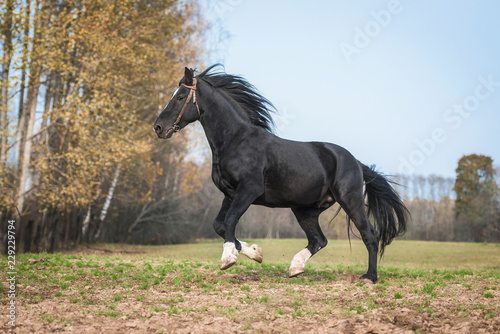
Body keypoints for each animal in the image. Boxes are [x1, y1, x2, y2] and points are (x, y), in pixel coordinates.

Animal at [154, 64, 408, 282]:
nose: (158, 127)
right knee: (319, 240)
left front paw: (228, 259)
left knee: (370, 235)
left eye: (179, 97)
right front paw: (255, 252)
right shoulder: (229, 193)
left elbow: (230, 219)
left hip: (350, 200)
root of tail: (355, 162)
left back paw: (369, 277)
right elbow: (220, 225)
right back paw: (295, 268)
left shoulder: (249, 190)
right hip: (305, 210)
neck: (236, 140)